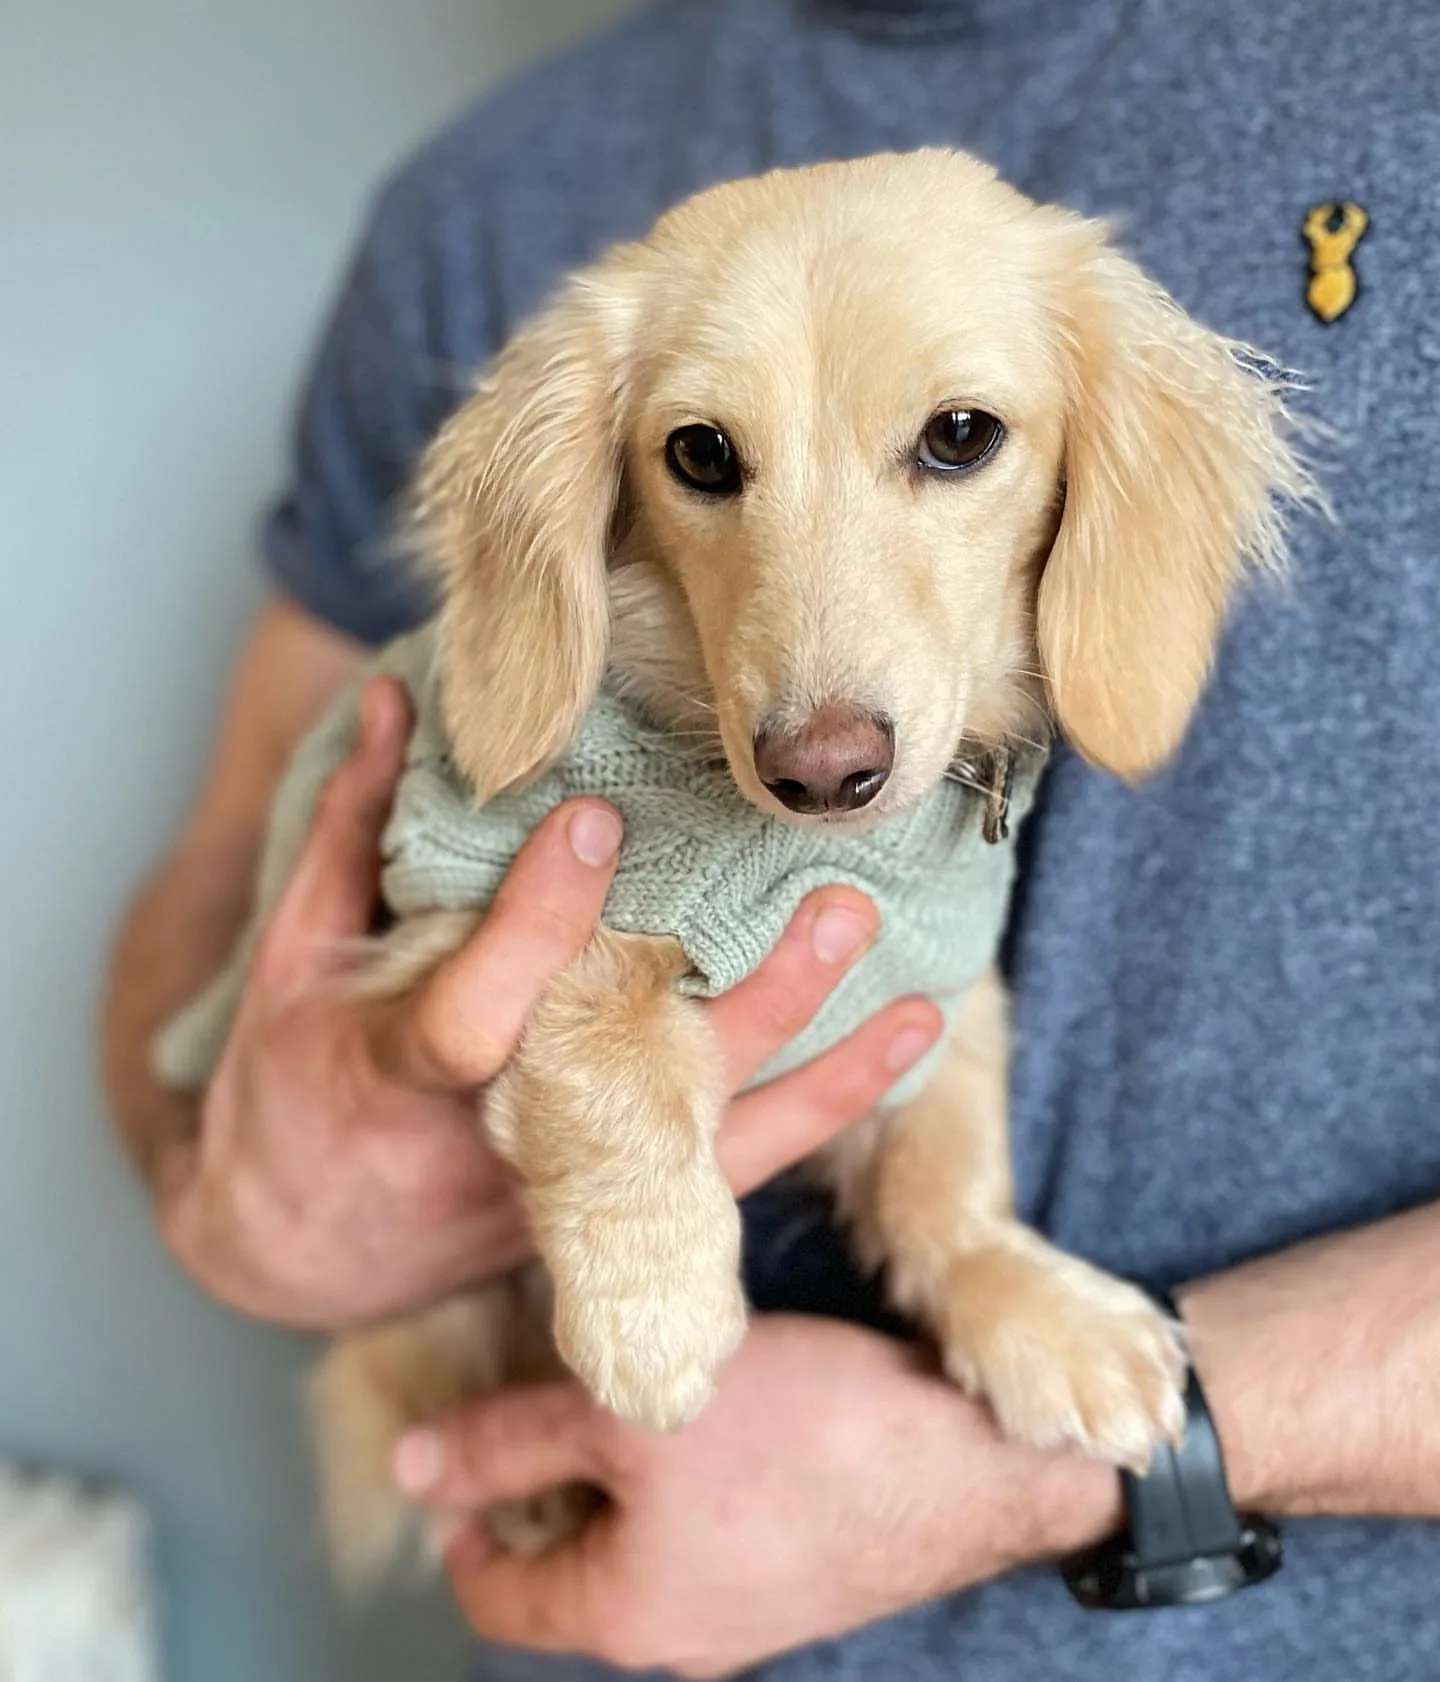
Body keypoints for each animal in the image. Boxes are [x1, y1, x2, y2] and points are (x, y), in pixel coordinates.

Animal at [152, 151, 1312, 1581]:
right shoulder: (463, 899)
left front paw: (1035, 1308)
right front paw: (654, 1309)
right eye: (700, 453)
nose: (820, 768)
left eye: (962, 434)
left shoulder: (934, 989)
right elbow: (608, 1046)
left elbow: (944, 1176)